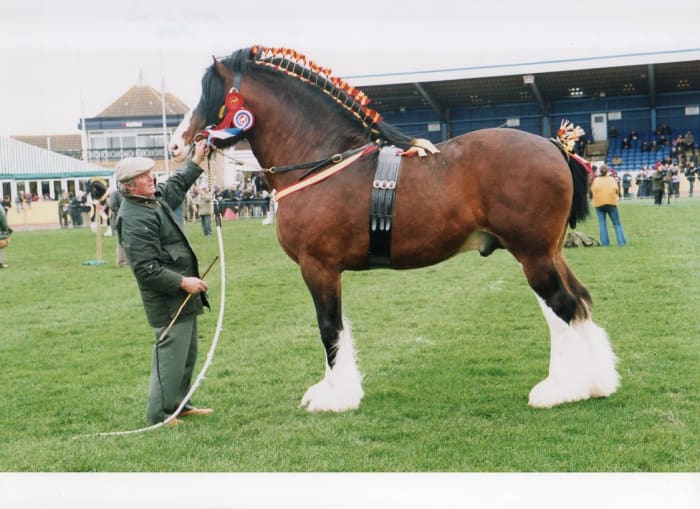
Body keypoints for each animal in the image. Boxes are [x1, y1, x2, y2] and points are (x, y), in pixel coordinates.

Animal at [170, 46, 616, 412]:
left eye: (209, 96)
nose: (175, 145)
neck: (323, 159)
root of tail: (554, 146)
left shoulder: (319, 267)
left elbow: (329, 327)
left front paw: (335, 397)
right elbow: (336, 327)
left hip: (533, 255)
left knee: (563, 306)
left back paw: (562, 390)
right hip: (549, 253)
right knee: (576, 304)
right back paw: (596, 383)